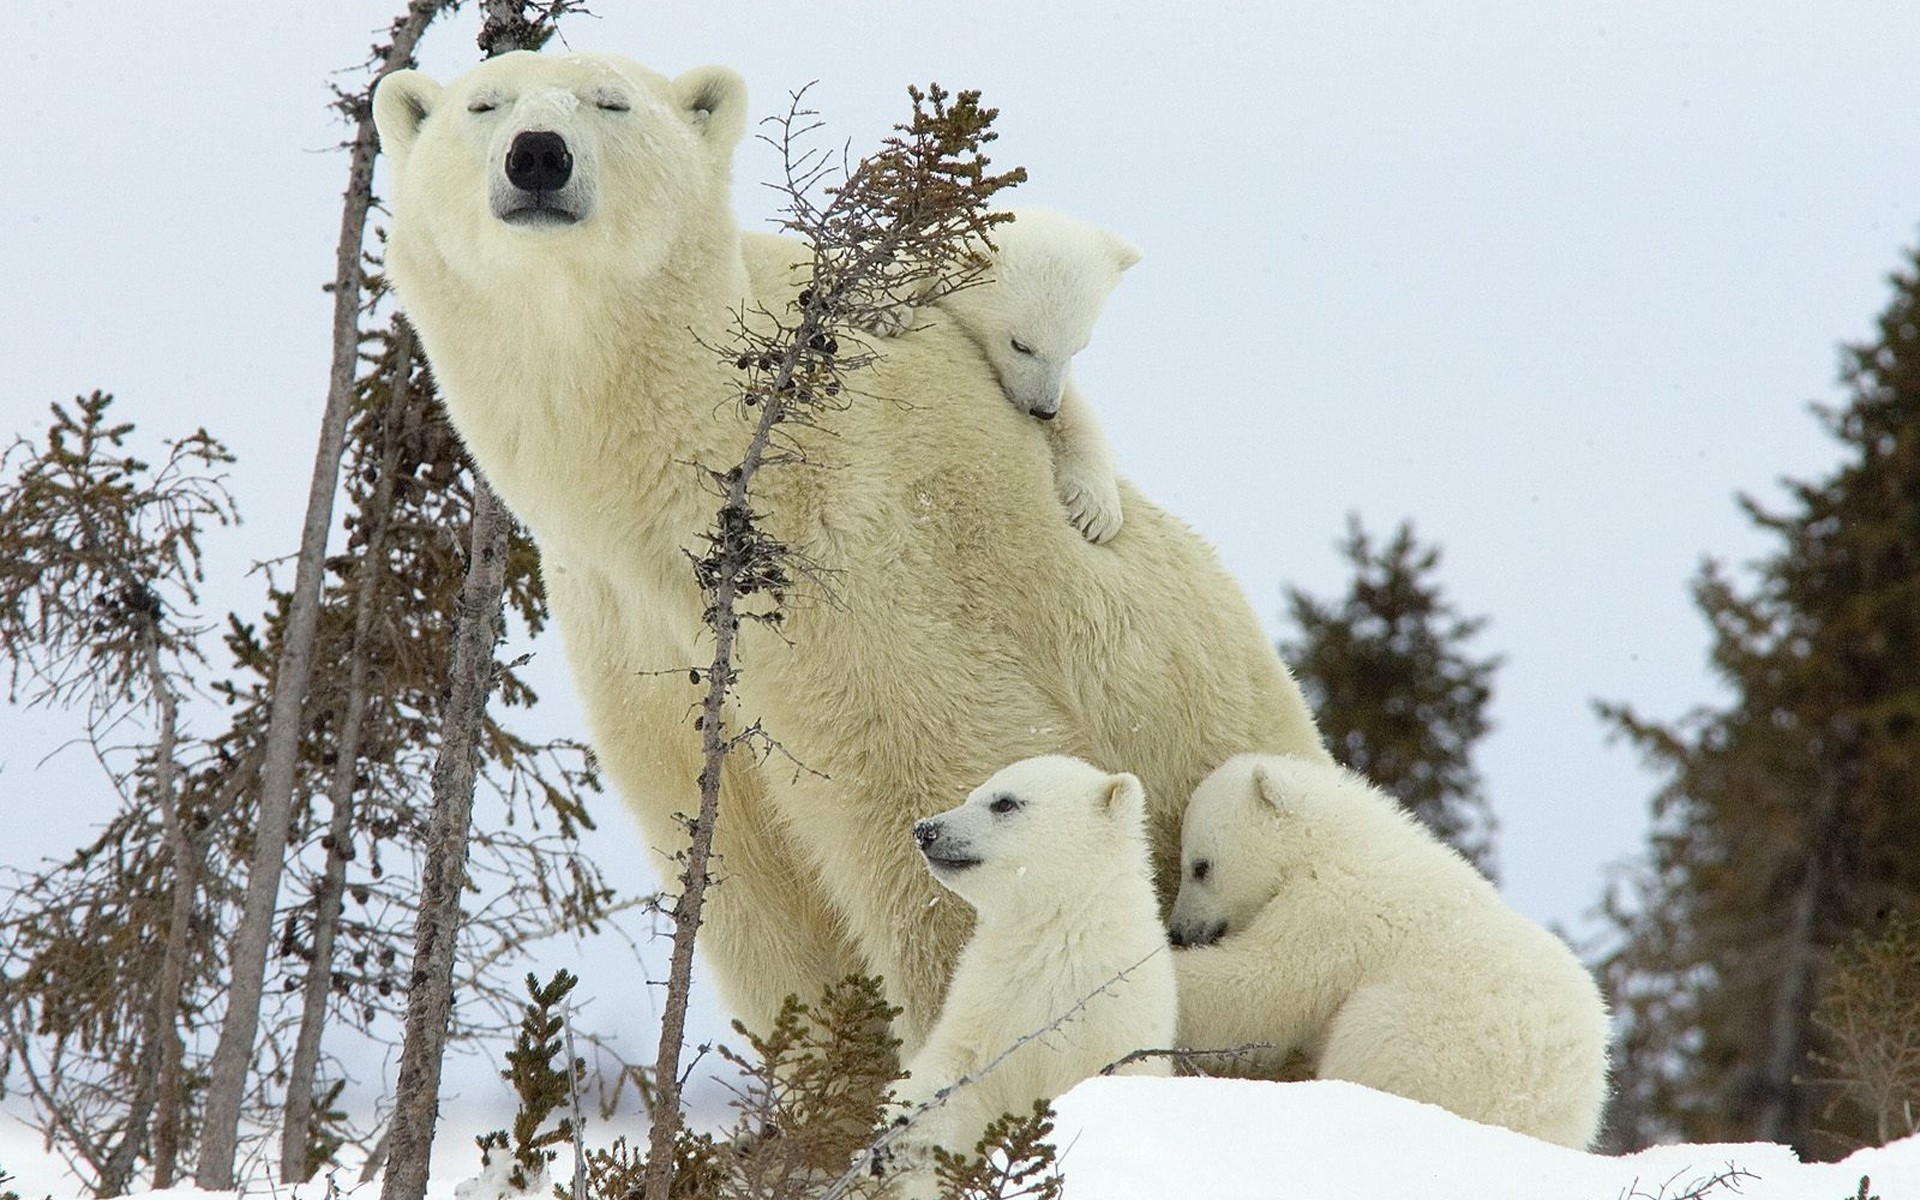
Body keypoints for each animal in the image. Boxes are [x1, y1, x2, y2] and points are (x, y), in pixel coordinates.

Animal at [870, 208, 1140, 545]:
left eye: (1078, 348)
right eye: (1020, 345)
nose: (1043, 410)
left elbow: (1077, 416)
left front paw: (1096, 513)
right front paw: (883, 308)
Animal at [886, 755, 1175, 1185]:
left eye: (1004, 803)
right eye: (972, 793)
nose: (925, 829)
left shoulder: (1115, 1020)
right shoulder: (989, 1002)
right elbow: (954, 1071)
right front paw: (901, 1139)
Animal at [1167, 754, 1611, 1148]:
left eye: (1200, 866)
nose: (1178, 931)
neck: (1332, 840)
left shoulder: (1333, 910)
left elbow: (1261, 987)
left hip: (1429, 1040)